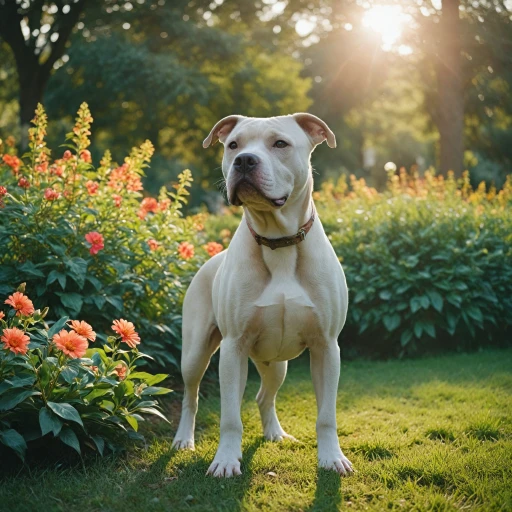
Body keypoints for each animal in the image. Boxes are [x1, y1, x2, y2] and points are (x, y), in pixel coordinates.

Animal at [171, 114, 352, 478]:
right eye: (233, 145)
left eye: (280, 143)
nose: (244, 161)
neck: (278, 240)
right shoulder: (233, 348)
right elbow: (230, 418)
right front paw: (226, 460)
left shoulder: (326, 347)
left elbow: (326, 415)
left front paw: (331, 458)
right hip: (195, 354)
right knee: (191, 396)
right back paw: (184, 439)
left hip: (276, 365)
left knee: (263, 396)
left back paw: (275, 433)